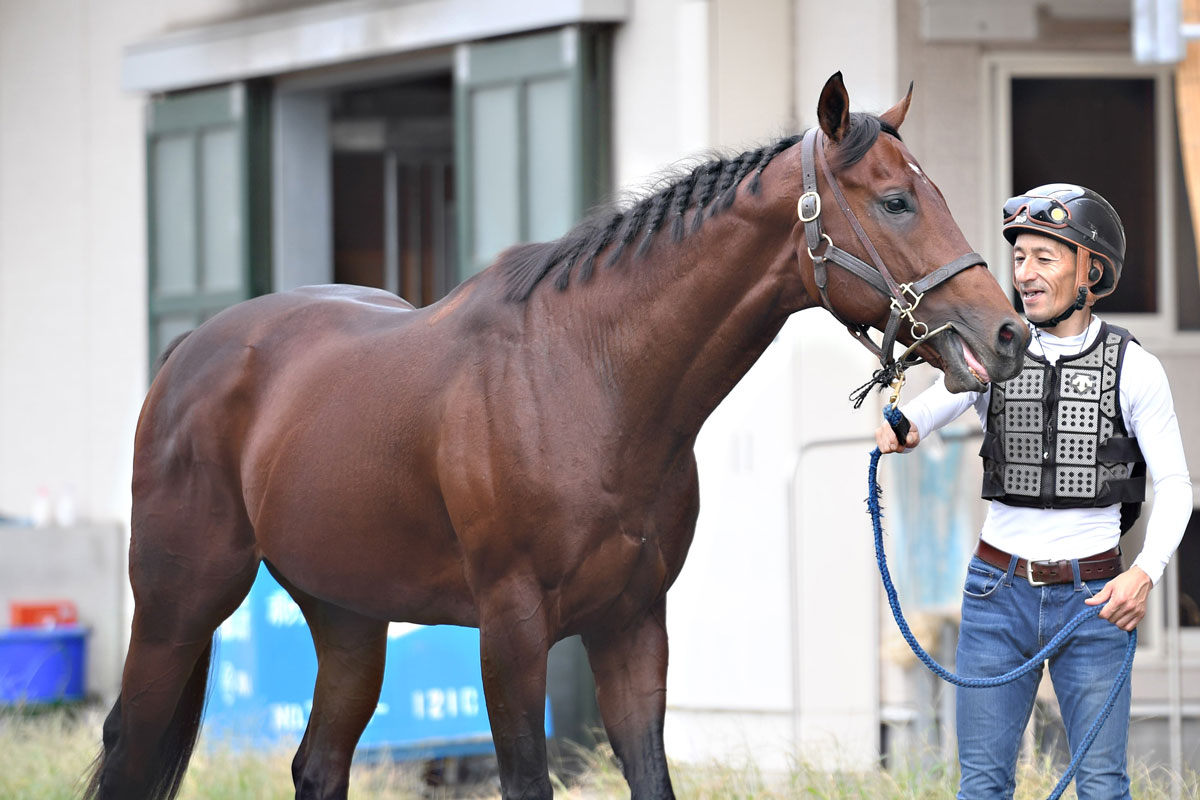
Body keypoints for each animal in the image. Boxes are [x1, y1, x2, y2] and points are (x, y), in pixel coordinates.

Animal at [85, 72, 1028, 800]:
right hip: (177, 607)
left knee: (318, 764)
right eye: (897, 200)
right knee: (130, 747)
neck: (590, 381)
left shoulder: (634, 626)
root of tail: (189, 354)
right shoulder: (511, 633)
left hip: (346, 616)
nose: (1008, 333)